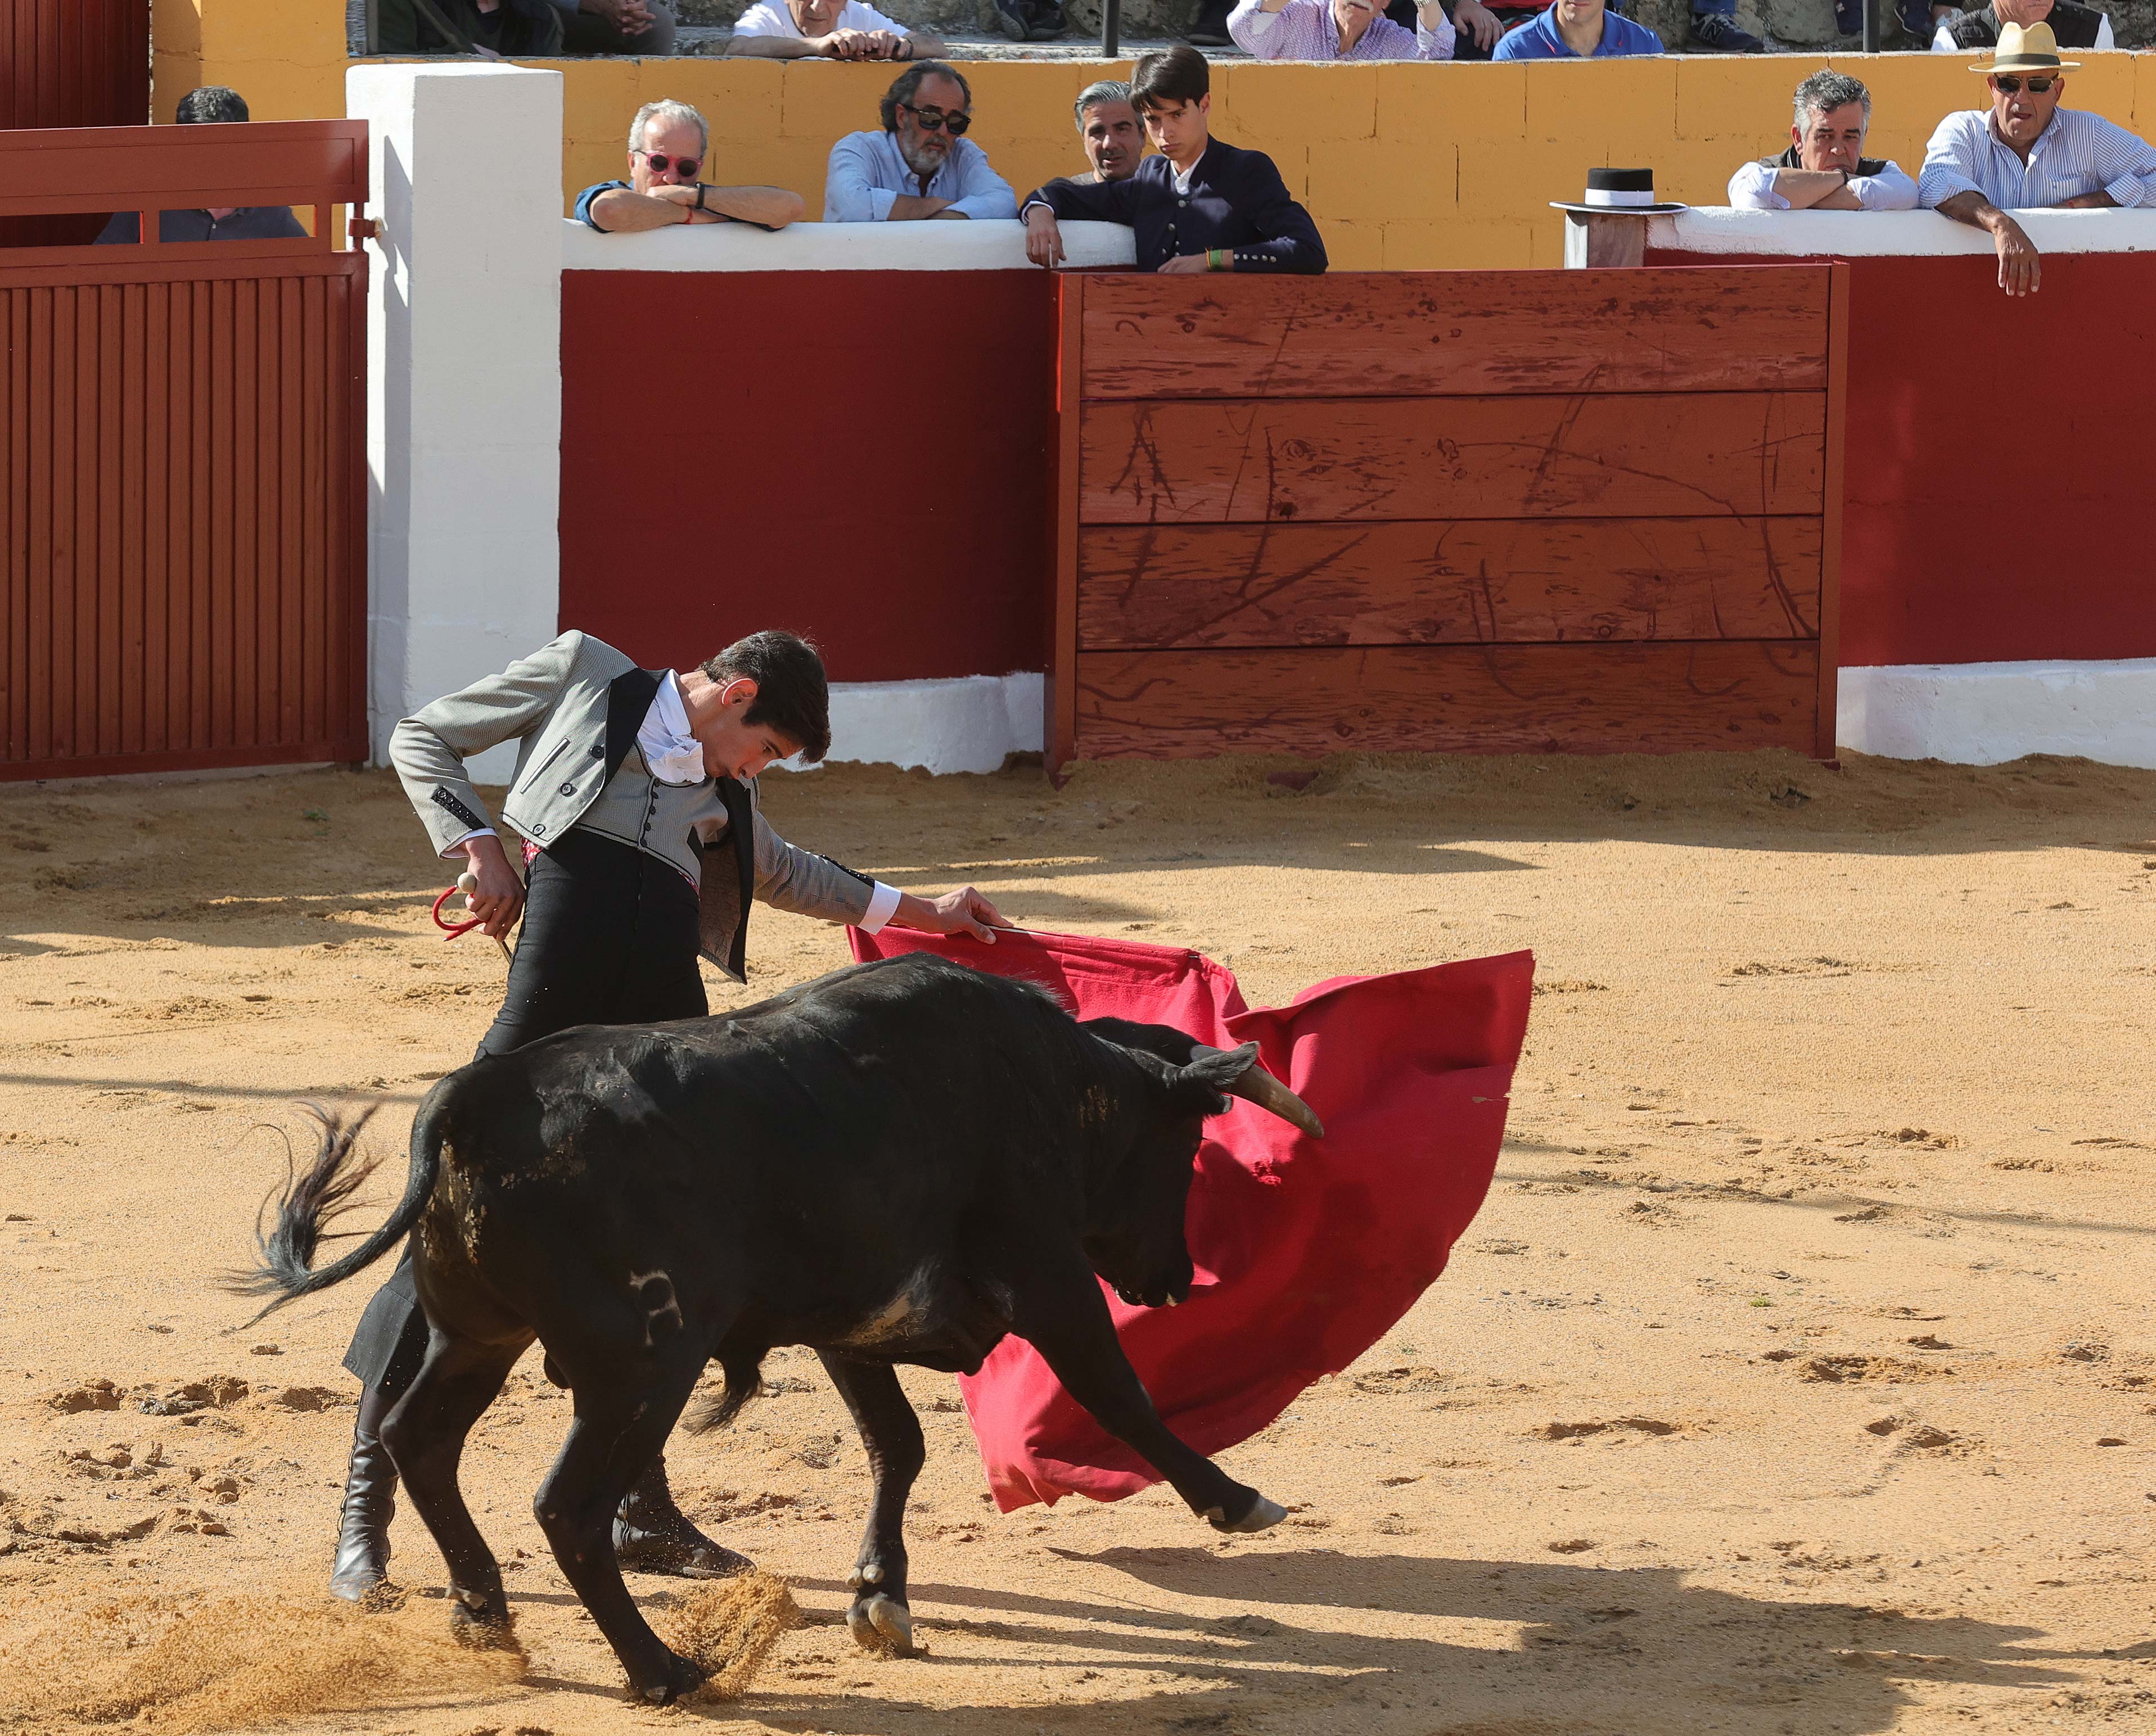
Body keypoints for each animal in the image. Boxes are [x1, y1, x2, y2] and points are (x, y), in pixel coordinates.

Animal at [236, 953, 1319, 1699]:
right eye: (1186, 1143)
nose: (1175, 1281)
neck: (1052, 1081)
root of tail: (473, 1095)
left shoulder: (854, 1320)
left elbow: (897, 1443)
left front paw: (880, 1599)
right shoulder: (1046, 1276)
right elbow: (1117, 1393)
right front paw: (1237, 1500)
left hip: (479, 1338)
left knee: (417, 1437)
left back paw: (484, 1616)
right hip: (644, 1364)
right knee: (567, 1507)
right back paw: (663, 1670)